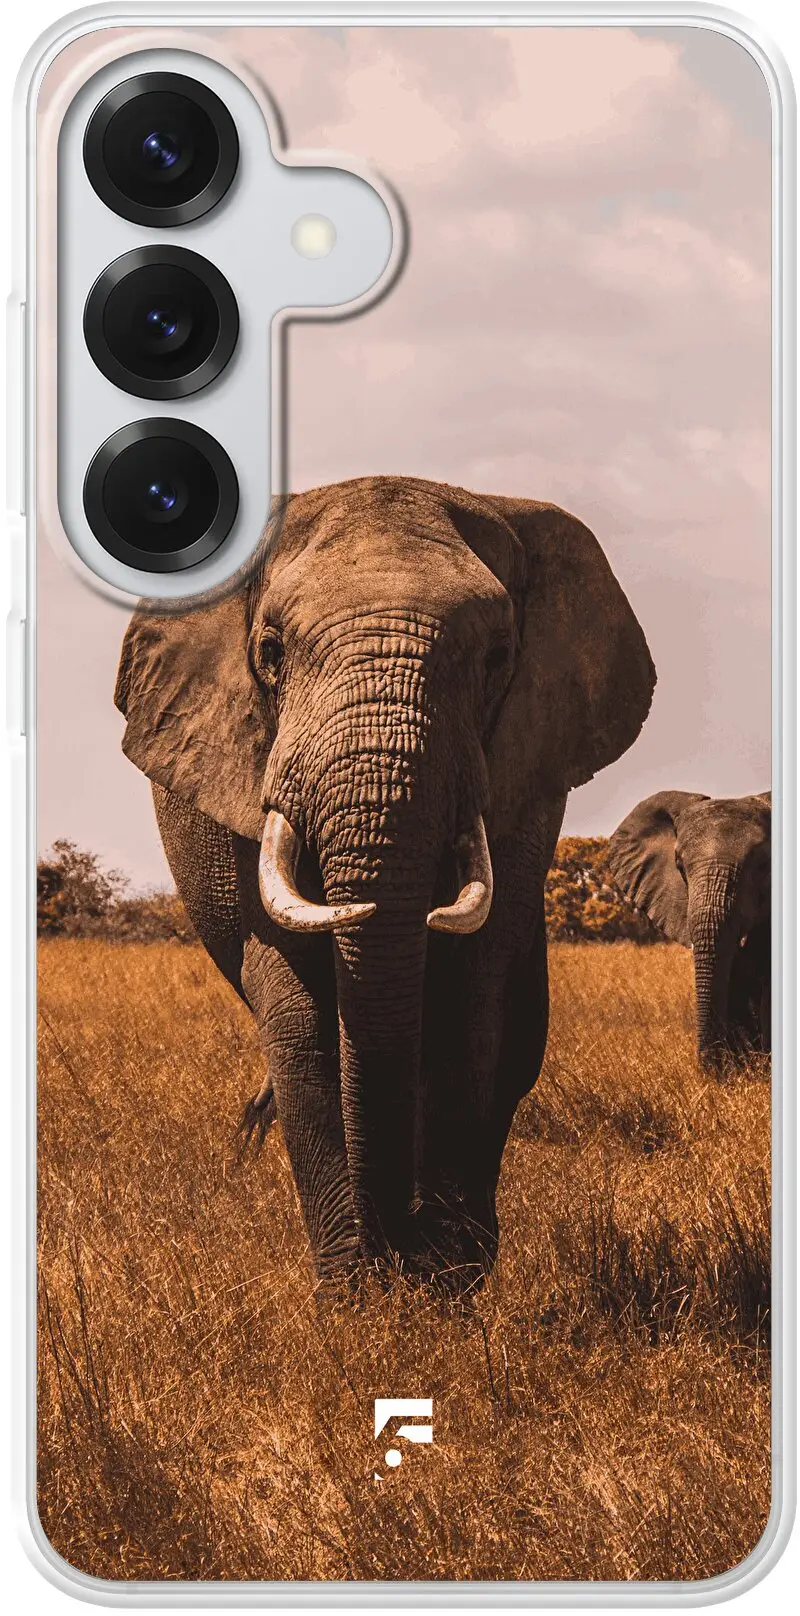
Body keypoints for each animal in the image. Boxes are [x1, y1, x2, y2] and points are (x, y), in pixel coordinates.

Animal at [115, 475, 655, 1288]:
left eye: (498, 657)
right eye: (271, 653)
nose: (395, 1249)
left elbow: (471, 999)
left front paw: (443, 1286)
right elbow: (301, 1016)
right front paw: (357, 1296)